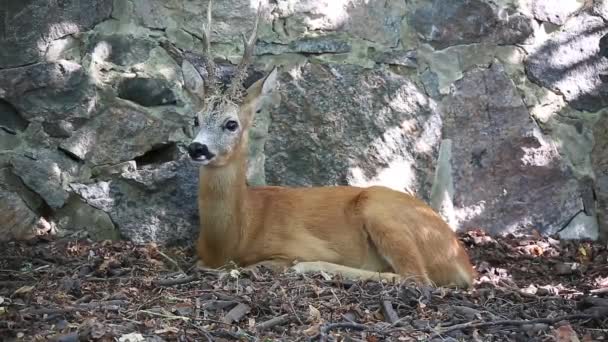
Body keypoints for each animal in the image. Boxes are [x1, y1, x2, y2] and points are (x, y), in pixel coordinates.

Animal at [184, 0, 476, 288]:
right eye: (196, 119)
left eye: (231, 123)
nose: (197, 148)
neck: (236, 237)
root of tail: (464, 263)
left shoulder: (298, 244)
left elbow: (262, 264)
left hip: (380, 209)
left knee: (416, 278)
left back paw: (312, 267)